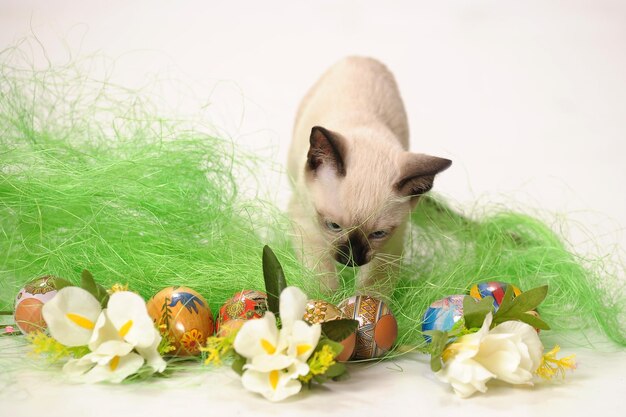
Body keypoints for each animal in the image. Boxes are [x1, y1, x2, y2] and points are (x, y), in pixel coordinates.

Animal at [288, 57, 448, 292]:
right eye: (333, 226)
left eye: (378, 234)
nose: (351, 261)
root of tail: (360, 57)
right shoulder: (306, 224)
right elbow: (322, 277)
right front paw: (326, 299)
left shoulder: (391, 244)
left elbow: (373, 285)